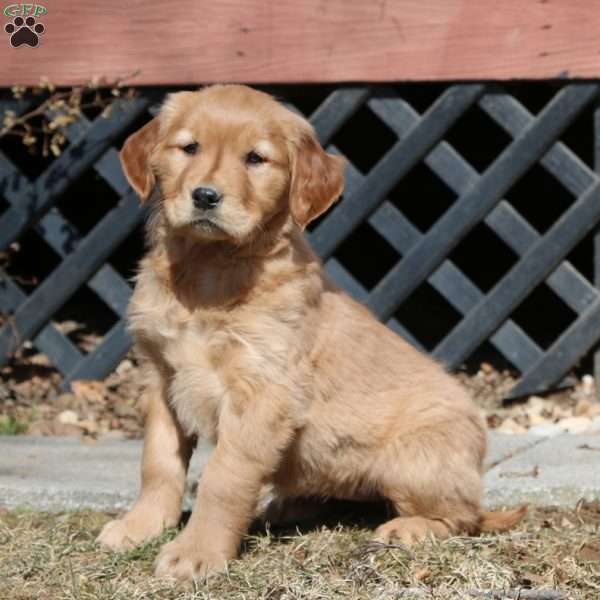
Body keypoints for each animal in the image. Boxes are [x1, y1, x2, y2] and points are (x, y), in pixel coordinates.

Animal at [98, 85, 524, 580]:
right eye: (189, 148)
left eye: (255, 159)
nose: (205, 196)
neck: (209, 270)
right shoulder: (162, 378)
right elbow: (158, 463)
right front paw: (142, 526)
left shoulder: (261, 392)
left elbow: (223, 477)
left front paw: (197, 551)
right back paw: (288, 506)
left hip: (417, 459)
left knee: (463, 516)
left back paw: (409, 528)